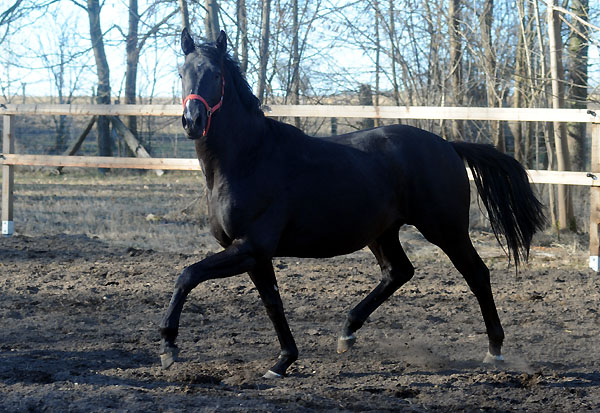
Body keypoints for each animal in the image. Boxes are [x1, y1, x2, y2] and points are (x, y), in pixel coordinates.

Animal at [161, 29, 548, 376]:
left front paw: (168, 345)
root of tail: (448, 145)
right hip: (383, 233)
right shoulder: (254, 254)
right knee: (398, 272)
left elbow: (187, 275)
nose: (192, 121)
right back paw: (346, 332)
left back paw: (494, 351)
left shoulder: (251, 246)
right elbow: (272, 303)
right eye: (181, 73)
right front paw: (283, 361)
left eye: (215, 74)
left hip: (445, 230)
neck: (247, 159)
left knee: (477, 274)